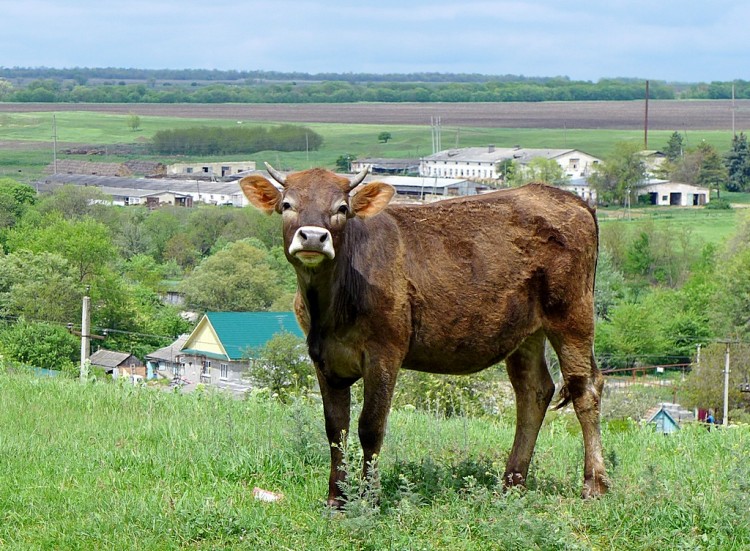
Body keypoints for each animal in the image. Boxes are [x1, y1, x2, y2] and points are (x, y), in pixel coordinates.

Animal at [241, 165, 612, 508]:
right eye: (287, 204)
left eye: (342, 207)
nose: (313, 237)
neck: (332, 306)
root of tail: (567, 198)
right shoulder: (323, 357)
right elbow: (336, 428)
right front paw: (337, 499)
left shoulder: (385, 352)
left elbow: (370, 426)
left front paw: (370, 498)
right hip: (526, 332)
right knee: (533, 391)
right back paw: (512, 482)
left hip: (572, 314)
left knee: (585, 388)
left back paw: (594, 485)